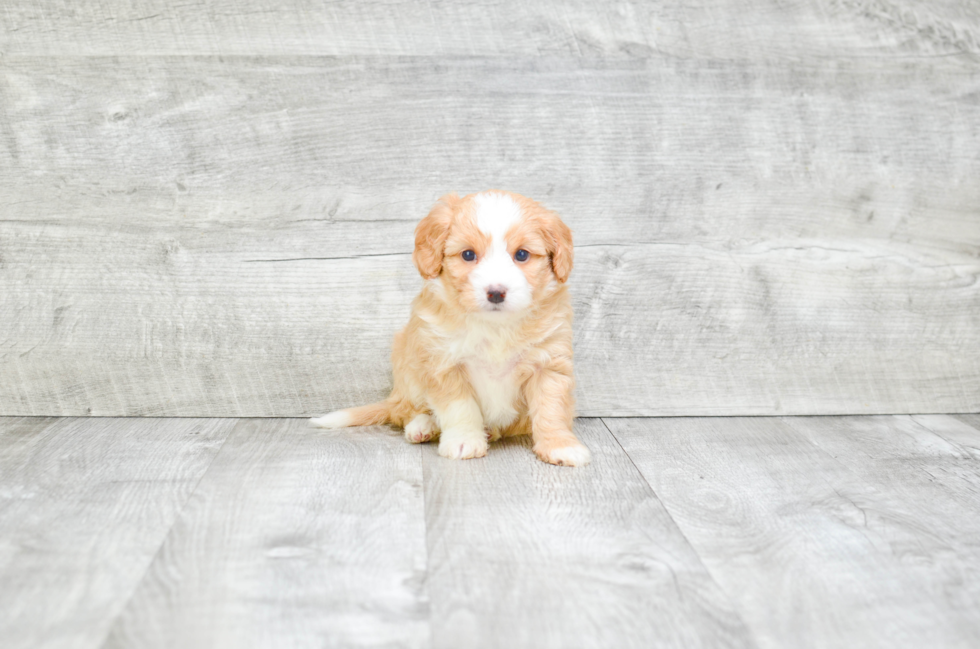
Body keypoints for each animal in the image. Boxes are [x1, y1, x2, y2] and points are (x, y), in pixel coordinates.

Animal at [310, 189, 592, 466]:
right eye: (468, 254)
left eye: (521, 254)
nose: (496, 293)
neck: (495, 326)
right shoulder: (443, 363)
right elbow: (460, 408)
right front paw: (464, 440)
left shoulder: (549, 365)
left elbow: (551, 410)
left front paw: (560, 445)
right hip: (408, 371)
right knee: (406, 411)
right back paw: (423, 426)